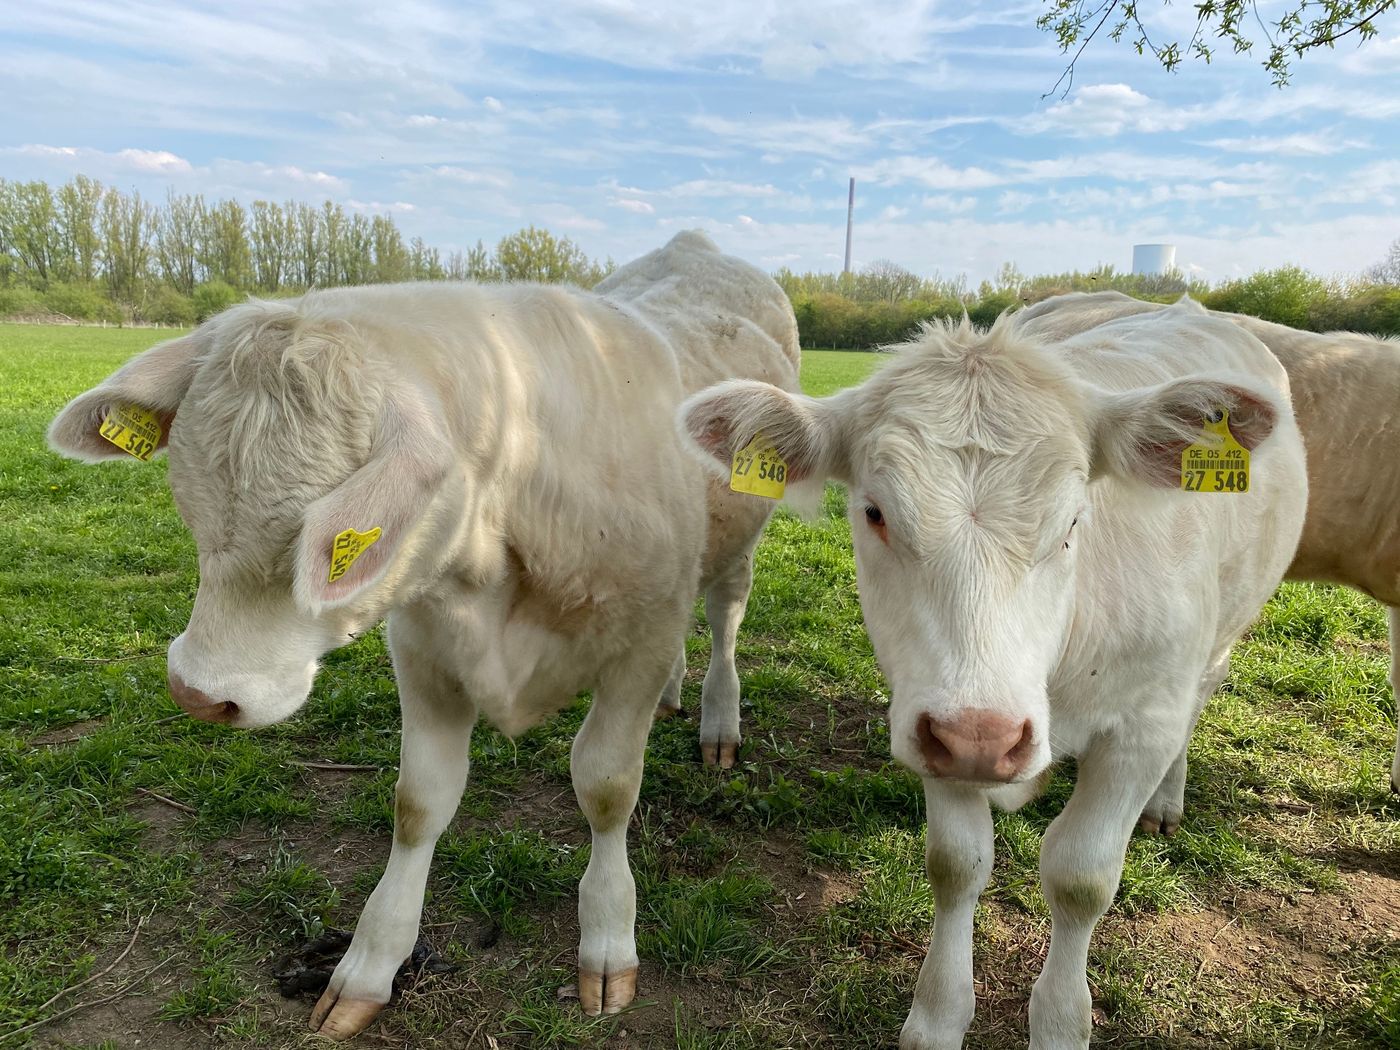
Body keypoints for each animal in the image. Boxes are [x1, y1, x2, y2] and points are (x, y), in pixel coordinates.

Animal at [49, 232, 800, 1047]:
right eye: (191, 512)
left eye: (322, 549)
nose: (197, 692)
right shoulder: (424, 651)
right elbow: (419, 802)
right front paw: (369, 964)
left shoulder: (639, 640)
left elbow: (606, 788)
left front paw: (607, 937)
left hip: (737, 549)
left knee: (724, 616)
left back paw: (718, 719)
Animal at [683, 299, 1304, 1047]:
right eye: (874, 512)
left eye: (1073, 521)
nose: (986, 737)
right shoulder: (931, 718)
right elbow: (956, 865)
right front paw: (938, 1016)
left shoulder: (1140, 729)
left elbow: (1081, 878)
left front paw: (1062, 1021)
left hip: (1218, 644)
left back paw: (1165, 801)